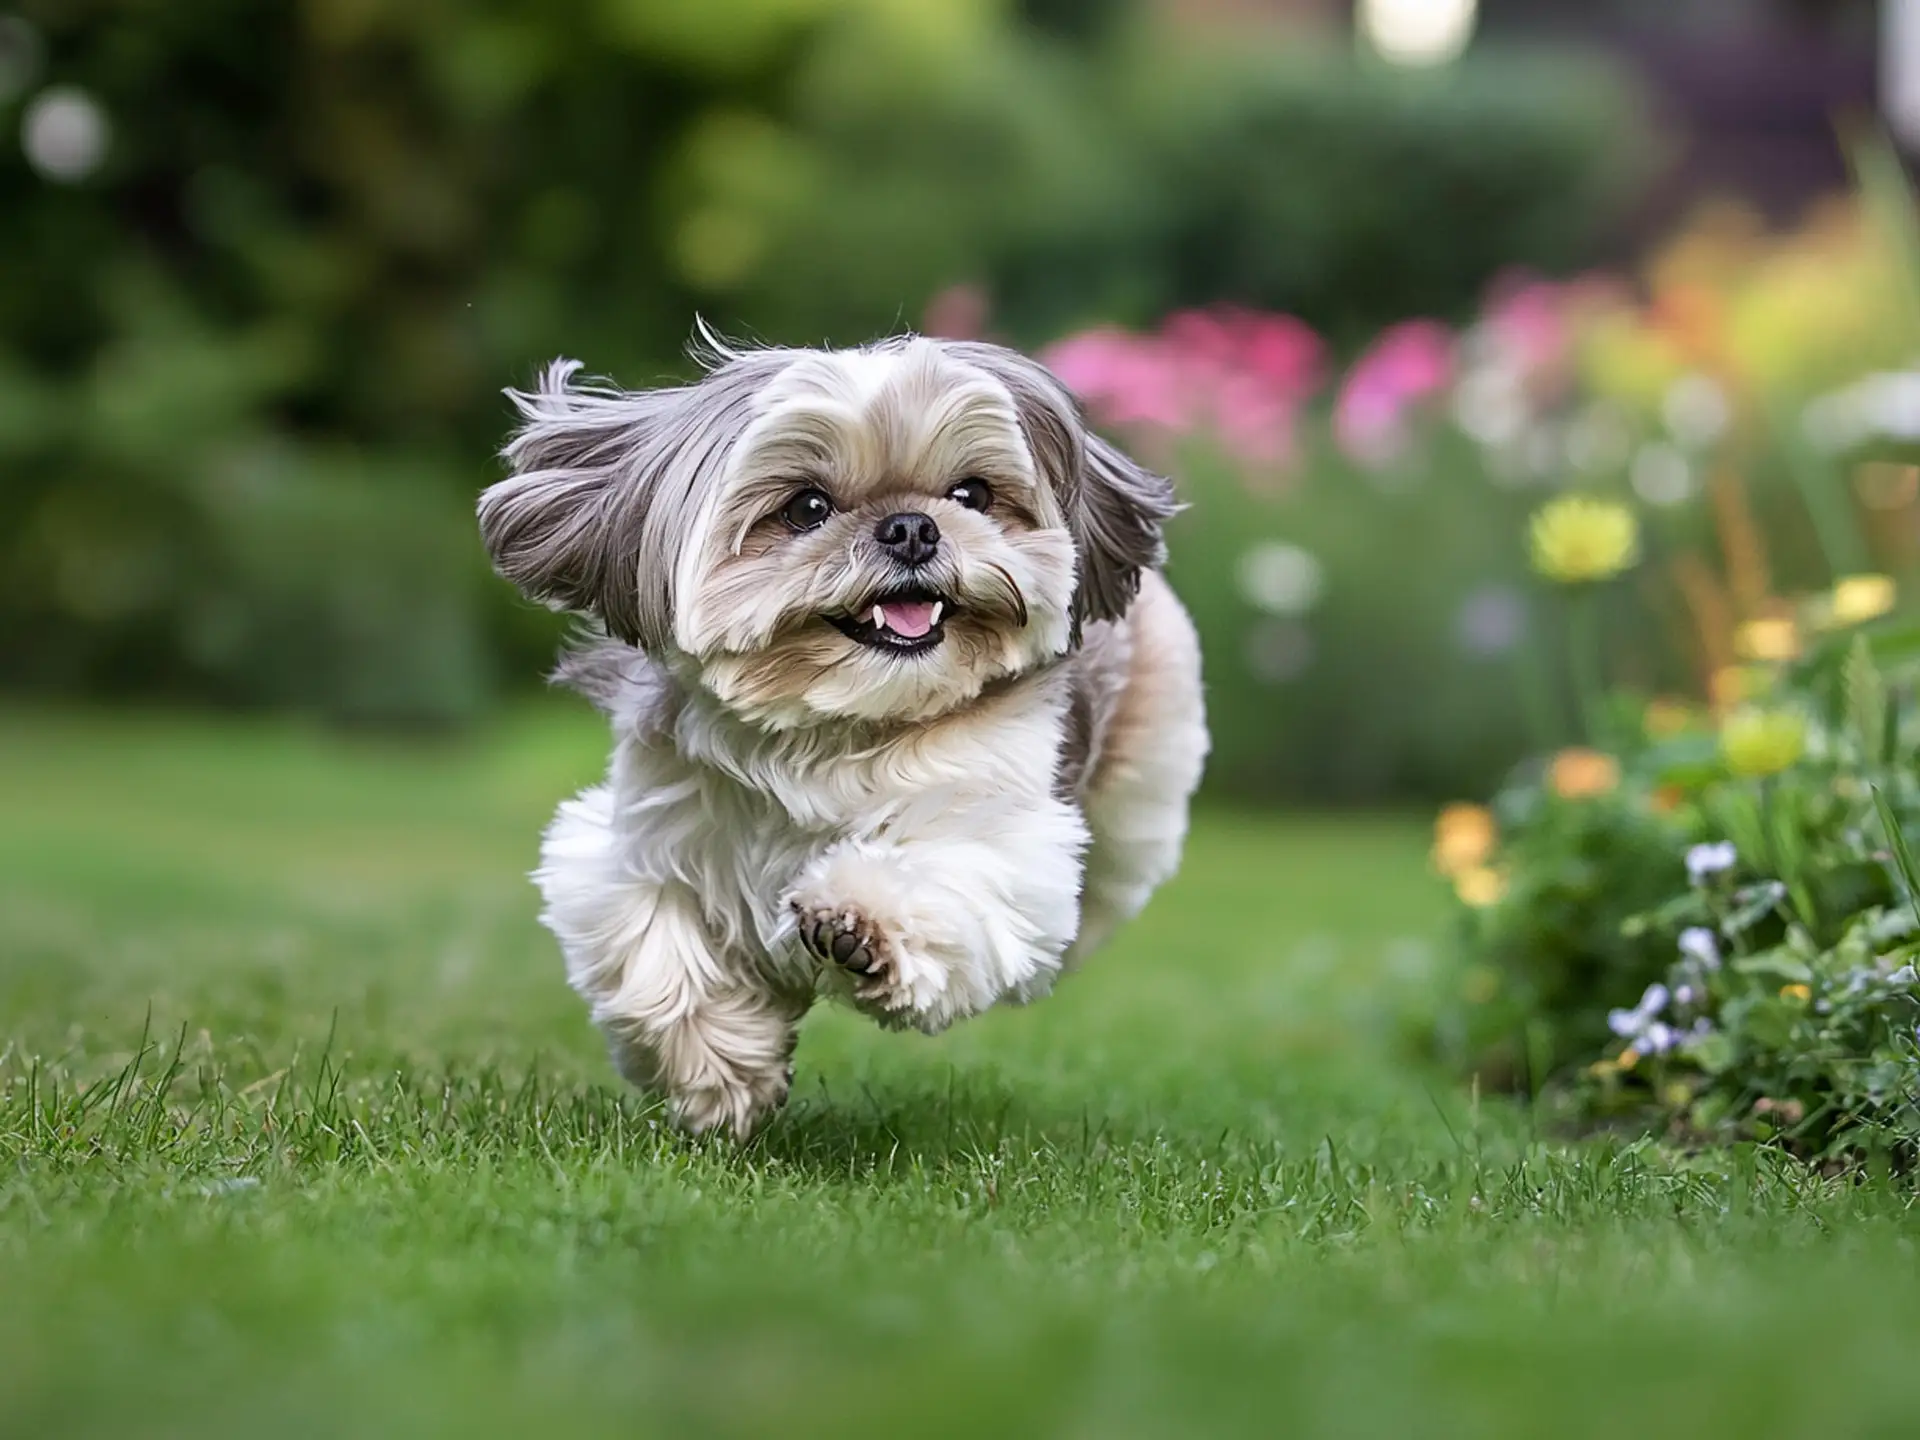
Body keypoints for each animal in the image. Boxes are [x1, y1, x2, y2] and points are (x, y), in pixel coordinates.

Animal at [478, 332, 1198, 1136]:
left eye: (972, 495)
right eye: (808, 507)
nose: (911, 526)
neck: (836, 727)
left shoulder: (1004, 836)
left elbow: (941, 872)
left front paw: (856, 925)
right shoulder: (637, 849)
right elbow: (661, 960)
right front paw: (721, 1079)